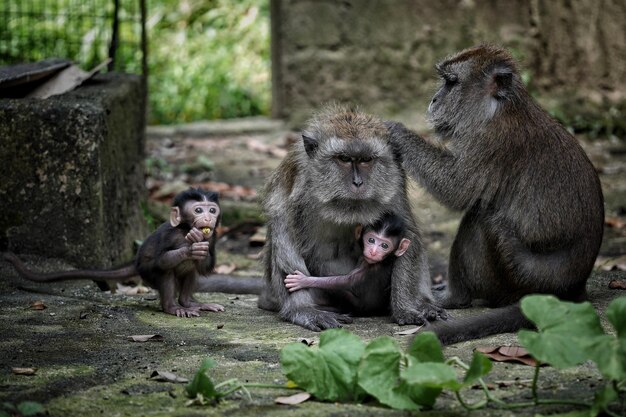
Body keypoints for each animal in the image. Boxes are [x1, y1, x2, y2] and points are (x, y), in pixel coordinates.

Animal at [3, 187, 223, 316]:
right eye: (198, 210)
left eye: (212, 210)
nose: (208, 219)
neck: (185, 228)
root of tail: (135, 263)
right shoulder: (172, 235)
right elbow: (162, 260)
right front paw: (190, 247)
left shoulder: (212, 236)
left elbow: (205, 265)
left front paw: (200, 248)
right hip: (147, 273)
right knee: (165, 271)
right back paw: (173, 307)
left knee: (191, 270)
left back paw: (189, 303)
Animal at [282, 213, 410, 314]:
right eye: (371, 240)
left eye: (384, 246)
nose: (373, 252)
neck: (386, 260)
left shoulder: (371, 269)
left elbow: (344, 282)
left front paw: (303, 280)